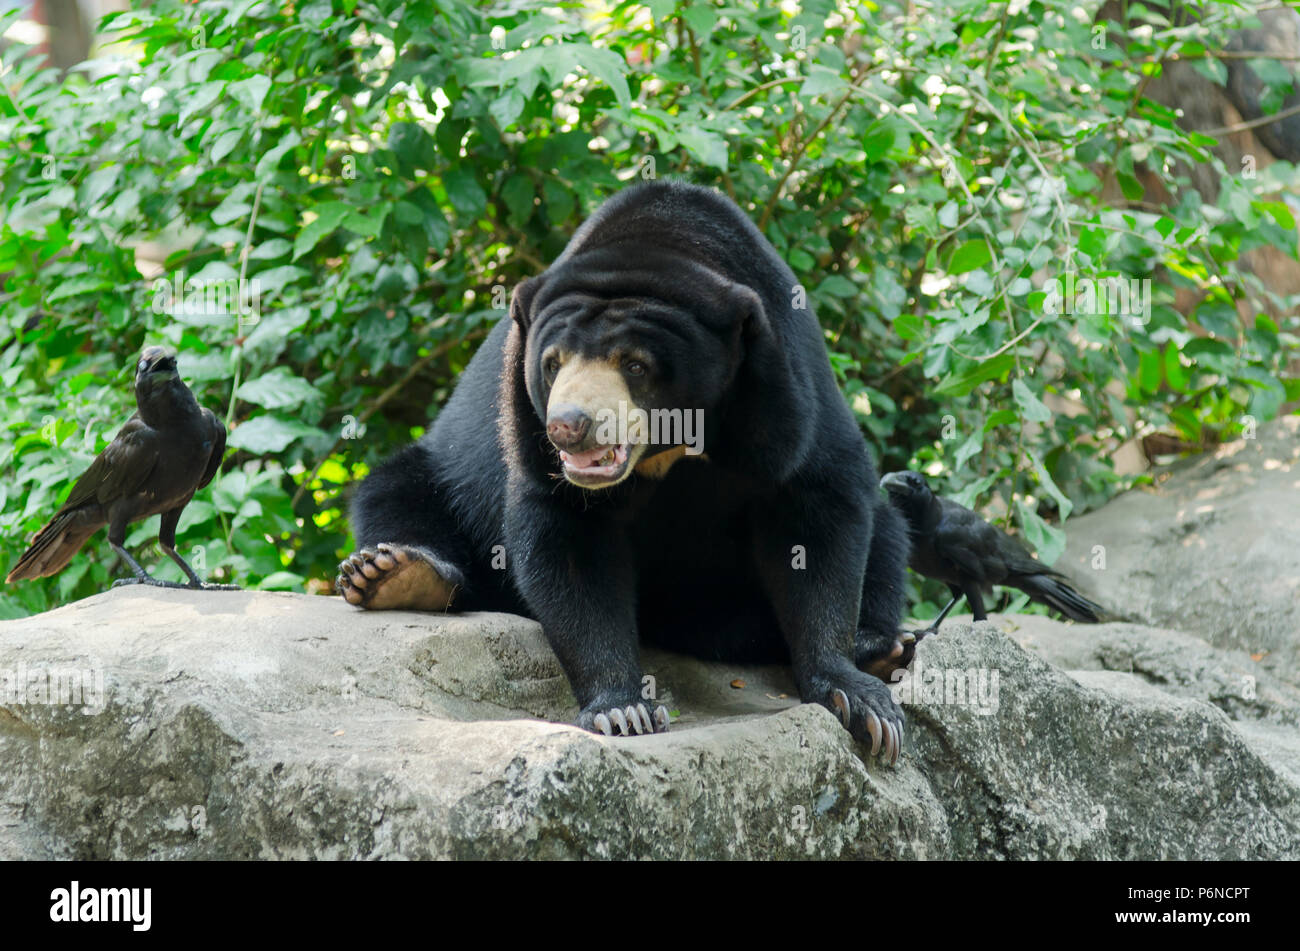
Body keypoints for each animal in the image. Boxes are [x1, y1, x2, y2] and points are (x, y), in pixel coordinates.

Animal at [337, 180, 912, 762]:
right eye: (552, 363)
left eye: (634, 365)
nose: (569, 426)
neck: (668, 447)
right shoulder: (527, 433)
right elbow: (568, 539)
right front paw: (622, 710)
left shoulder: (787, 394)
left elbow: (817, 510)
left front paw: (860, 702)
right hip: (450, 473)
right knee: (399, 489)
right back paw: (394, 574)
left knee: (888, 530)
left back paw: (882, 647)